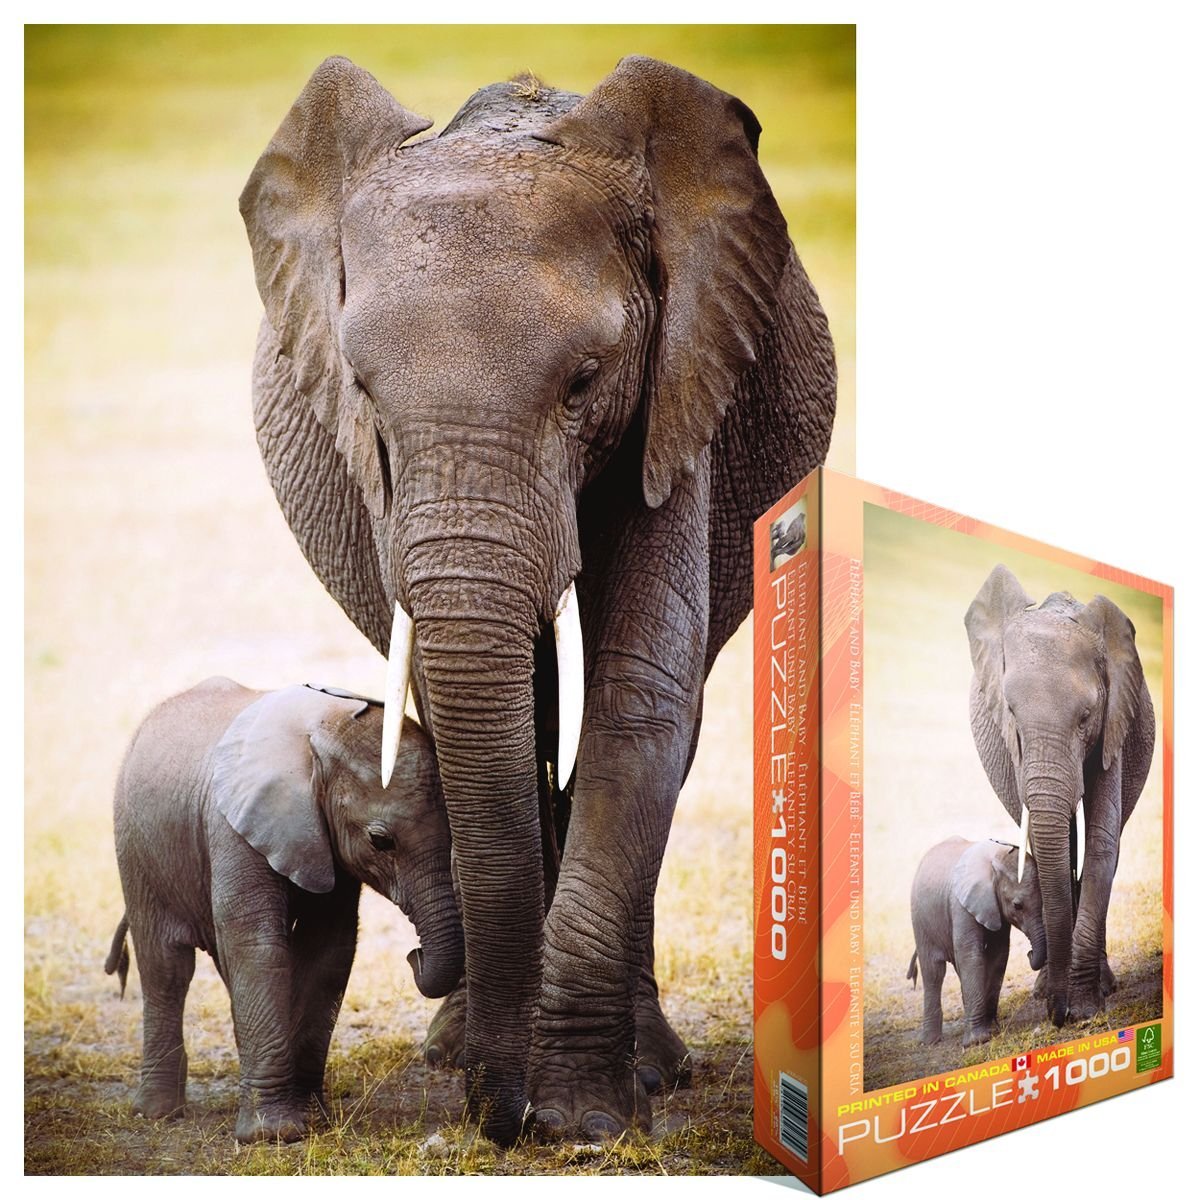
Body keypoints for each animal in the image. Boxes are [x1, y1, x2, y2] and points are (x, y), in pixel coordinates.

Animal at [107, 677, 462, 1143]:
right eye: (380, 841)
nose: (413, 955)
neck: (321, 733)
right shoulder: (233, 827)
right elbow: (258, 946)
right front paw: (273, 1135)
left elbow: (328, 950)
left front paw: (312, 1118)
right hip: (135, 849)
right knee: (166, 966)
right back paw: (158, 1113)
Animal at [239, 55, 836, 1143]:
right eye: (362, 389)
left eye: (586, 381)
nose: (498, 1115)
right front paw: (520, 1087)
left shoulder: (678, 392)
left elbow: (639, 695)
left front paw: (585, 1119)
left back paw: (651, 1067)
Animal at [907, 837, 1047, 1047]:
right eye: (1017, 906)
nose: (1029, 953)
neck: (995, 858)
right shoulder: (960, 906)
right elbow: (971, 956)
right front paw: (976, 1041)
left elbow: (999, 955)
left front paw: (991, 1029)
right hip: (920, 920)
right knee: (934, 972)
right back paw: (930, 1041)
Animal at [965, 564, 1155, 1027]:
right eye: (1010, 712)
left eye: (1086, 717)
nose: (1058, 1015)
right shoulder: (1013, 747)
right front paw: (1062, 999)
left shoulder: (1114, 722)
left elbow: (1102, 840)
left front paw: (1085, 1007)